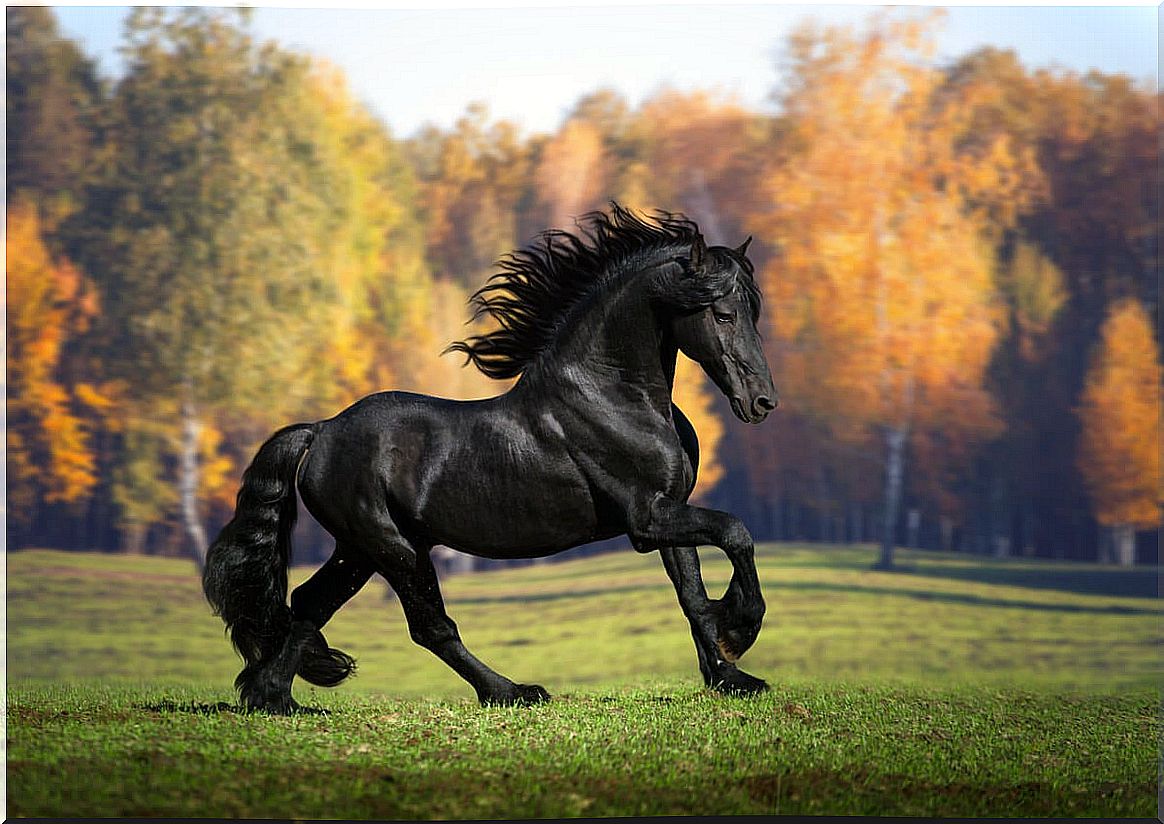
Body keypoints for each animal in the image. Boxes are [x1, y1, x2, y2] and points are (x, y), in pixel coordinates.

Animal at [204, 202, 777, 712]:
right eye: (722, 313)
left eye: (752, 312)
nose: (762, 403)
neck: (613, 395)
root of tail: (321, 431)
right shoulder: (647, 518)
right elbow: (735, 533)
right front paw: (740, 628)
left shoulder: (669, 510)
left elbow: (692, 595)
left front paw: (731, 677)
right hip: (394, 549)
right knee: (429, 626)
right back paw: (512, 692)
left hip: (360, 550)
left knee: (308, 604)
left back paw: (271, 697)